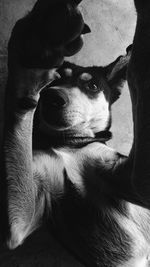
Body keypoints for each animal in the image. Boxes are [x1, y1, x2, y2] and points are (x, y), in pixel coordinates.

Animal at [1, 0, 150, 266]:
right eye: (55, 80)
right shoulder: (21, 220)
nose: (52, 98)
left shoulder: (137, 181)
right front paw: (29, 66)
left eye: (92, 85)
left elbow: (139, 70)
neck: (71, 144)